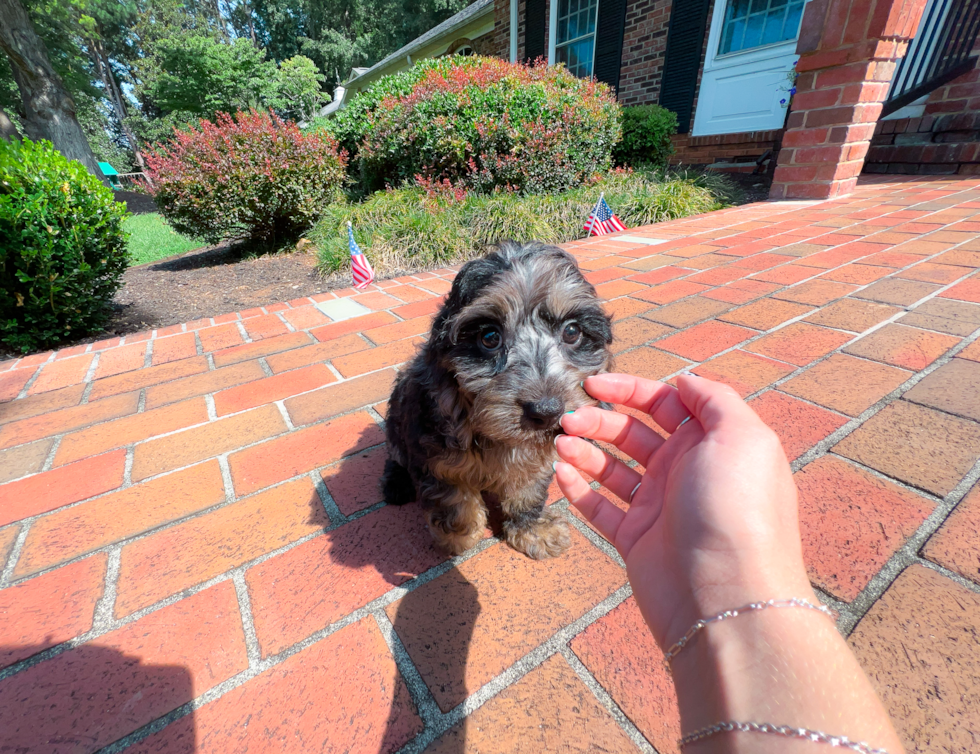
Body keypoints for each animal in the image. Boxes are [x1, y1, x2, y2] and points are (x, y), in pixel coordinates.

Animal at [380, 241, 612, 560]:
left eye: (572, 331)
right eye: (489, 337)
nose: (546, 412)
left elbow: (528, 490)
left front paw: (533, 530)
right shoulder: (433, 451)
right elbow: (453, 495)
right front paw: (460, 535)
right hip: (395, 423)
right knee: (395, 455)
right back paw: (396, 484)